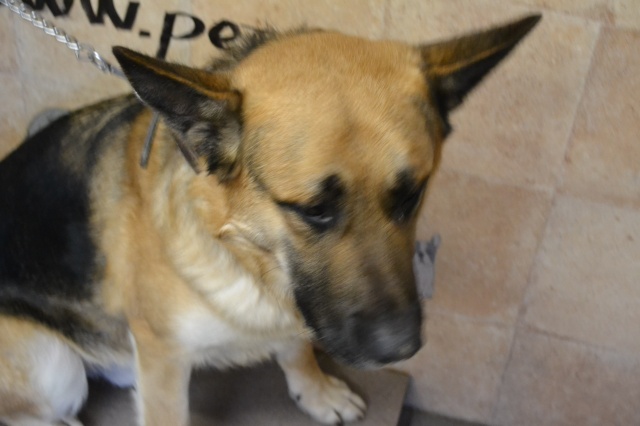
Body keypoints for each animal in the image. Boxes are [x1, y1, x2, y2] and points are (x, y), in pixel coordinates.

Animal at [0, 14, 540, 426]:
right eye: (313, 209)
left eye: (412, 194)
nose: (401, 349)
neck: (242, 255)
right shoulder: (161, 354)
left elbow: (297, 346)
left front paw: (314, 390)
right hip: (54, 366)